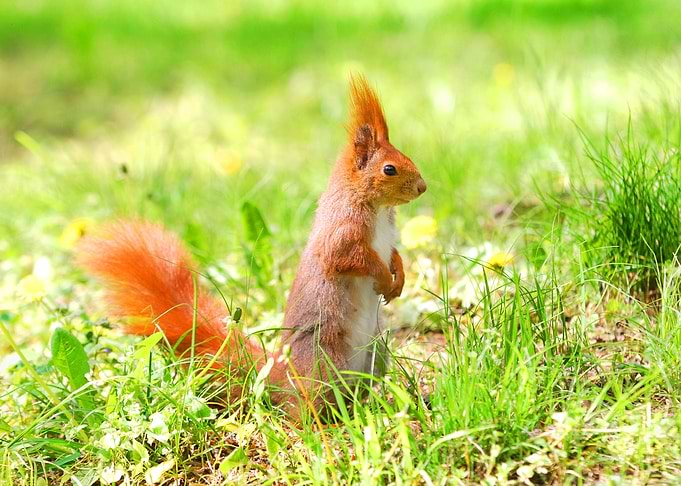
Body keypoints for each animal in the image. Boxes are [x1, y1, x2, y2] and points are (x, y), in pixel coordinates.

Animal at [77, 74, 427, 418]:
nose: (423, 187)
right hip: (324, 359)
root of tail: (282, 376)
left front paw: (398, 278)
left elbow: (393, 254)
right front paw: (382, 277)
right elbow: (352, 259)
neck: (377, 207)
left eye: (407, 157)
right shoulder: (340, 233)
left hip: (377, 353)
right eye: (389, 169)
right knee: (307, 408)